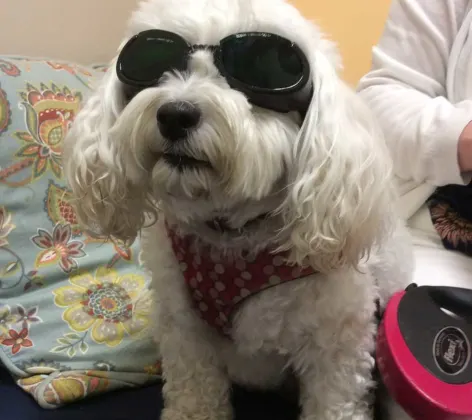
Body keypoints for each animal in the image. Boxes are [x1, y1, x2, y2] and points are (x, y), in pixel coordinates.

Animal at [63, 0, 412, 418]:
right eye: (151, 62)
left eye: (262, 68)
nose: (175, 114)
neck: (232, 233)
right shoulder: (185, 330)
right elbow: (195, 395)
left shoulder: (337, 342)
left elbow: (334, 399)